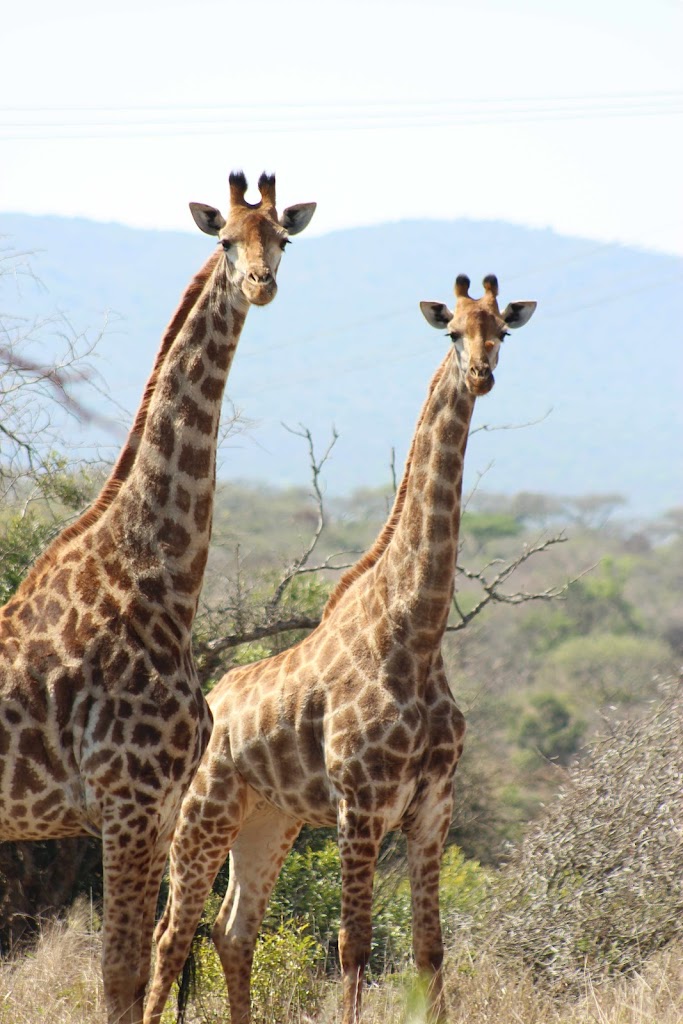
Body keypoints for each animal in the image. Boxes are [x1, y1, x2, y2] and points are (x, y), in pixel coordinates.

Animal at [0, 171, 316, 1024]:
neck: (163, 580)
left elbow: (144, 965)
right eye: (224, 240)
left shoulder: (161, 806)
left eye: (283, 237)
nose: (261, 283)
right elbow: (118, 973)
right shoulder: (129, 802)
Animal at [144, 274, 537, 1024]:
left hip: (272, 818)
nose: (482, 374)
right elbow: (354, 945)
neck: (415, 636)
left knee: (232, 928)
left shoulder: (432, 807)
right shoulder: (362, 803)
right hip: (203, 813)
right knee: (170, 932)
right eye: (453, 332)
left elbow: (428, 949)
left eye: (502, 330)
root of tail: (208, 703)